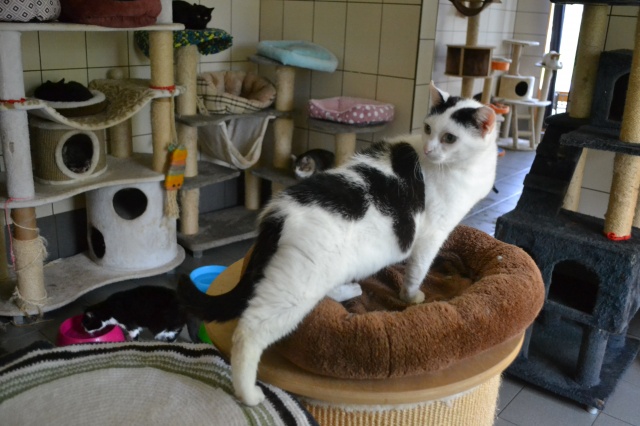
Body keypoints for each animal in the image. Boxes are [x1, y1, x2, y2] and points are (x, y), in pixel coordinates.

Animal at [178, 82, 498, 406]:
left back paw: (350, 289)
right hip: (294, 288)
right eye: (429, 128)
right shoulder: (432, 235)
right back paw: (249, 393)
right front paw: (412, 297)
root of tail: (277, 213)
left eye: (449, 137)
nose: (430, 149)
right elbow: (417, 271)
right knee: (249, 331)